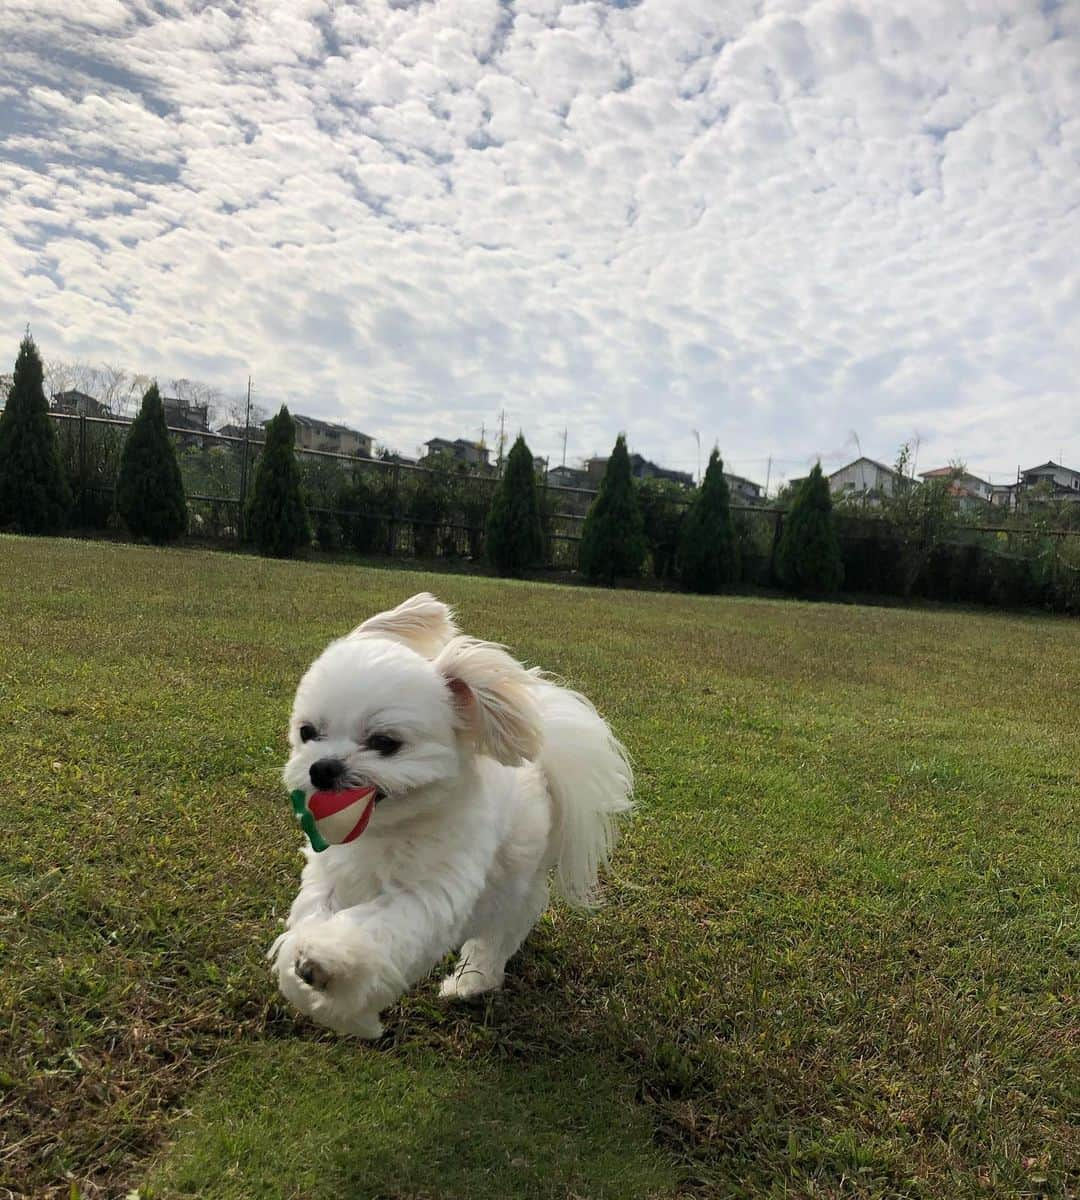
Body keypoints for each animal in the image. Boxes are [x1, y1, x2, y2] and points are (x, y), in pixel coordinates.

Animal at [266, 595, 633, 1036]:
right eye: (307, 732)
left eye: (385, 742)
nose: (322, 768)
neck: (389, 831)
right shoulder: (331, 876)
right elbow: (309, 917)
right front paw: (313, 985)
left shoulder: (428, 894)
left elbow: (375, 931)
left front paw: (327, 962)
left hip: (515, 892)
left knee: (495, 939)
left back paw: (469, 983)